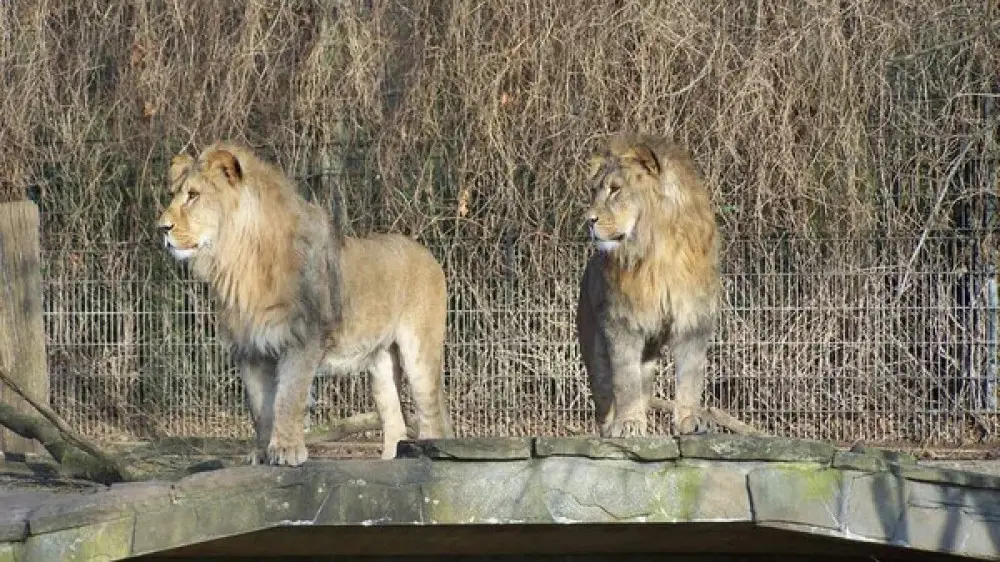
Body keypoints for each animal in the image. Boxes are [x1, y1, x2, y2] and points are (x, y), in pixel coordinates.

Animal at [156, 142, 452, 465]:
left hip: (419, 351)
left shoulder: (303, 338)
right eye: (176, 194)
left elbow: (288, 398)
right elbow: (260, 409)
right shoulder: (251, 350)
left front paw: (286, 451)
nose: (162, 228)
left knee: (432, 419)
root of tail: (427, 253)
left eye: (193, 195)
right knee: (395, 422)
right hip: (381, 361)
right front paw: (261, 453)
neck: (239, 261)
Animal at [576, 132, 721, 437]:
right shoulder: (621, 321)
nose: (588, 221)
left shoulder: (694, 318)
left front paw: (691, 420)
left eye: (615, 189)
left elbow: (690, 376)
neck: (657, 249)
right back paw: (611, 426)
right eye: (594, 191)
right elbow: (625, 379)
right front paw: (628, 424)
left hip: (650, 352)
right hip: (593, 347)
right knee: (606, 393)